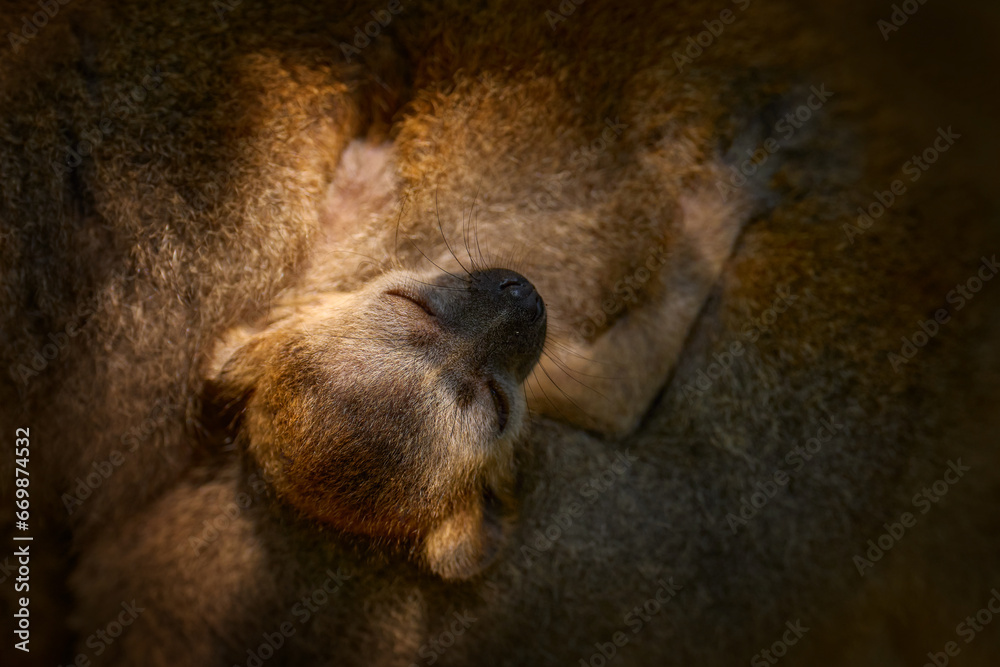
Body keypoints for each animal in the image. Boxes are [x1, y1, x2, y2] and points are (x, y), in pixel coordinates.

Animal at [2, 0, 999, 666]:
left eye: (418, 311)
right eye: (485, 400)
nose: (522, 297)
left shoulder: (319, 288)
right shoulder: (542, 375)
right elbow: (618, 392)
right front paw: (718, 213)